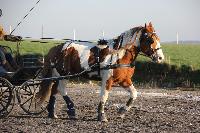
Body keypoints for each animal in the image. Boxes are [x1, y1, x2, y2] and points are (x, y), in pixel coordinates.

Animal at [36, 22, 164, 121]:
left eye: (158, 39)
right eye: (151, 40)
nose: (160, 58)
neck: (119, 54)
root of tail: (58, 48)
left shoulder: (124, 80)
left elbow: (134, 93)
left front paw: (122, 111)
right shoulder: (107, 80)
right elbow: (104, 96)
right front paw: (101, 115)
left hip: (59, 75)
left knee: (54, 89)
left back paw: (52, 113)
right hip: (64, 75)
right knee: (61, 89)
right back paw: (71, 110)